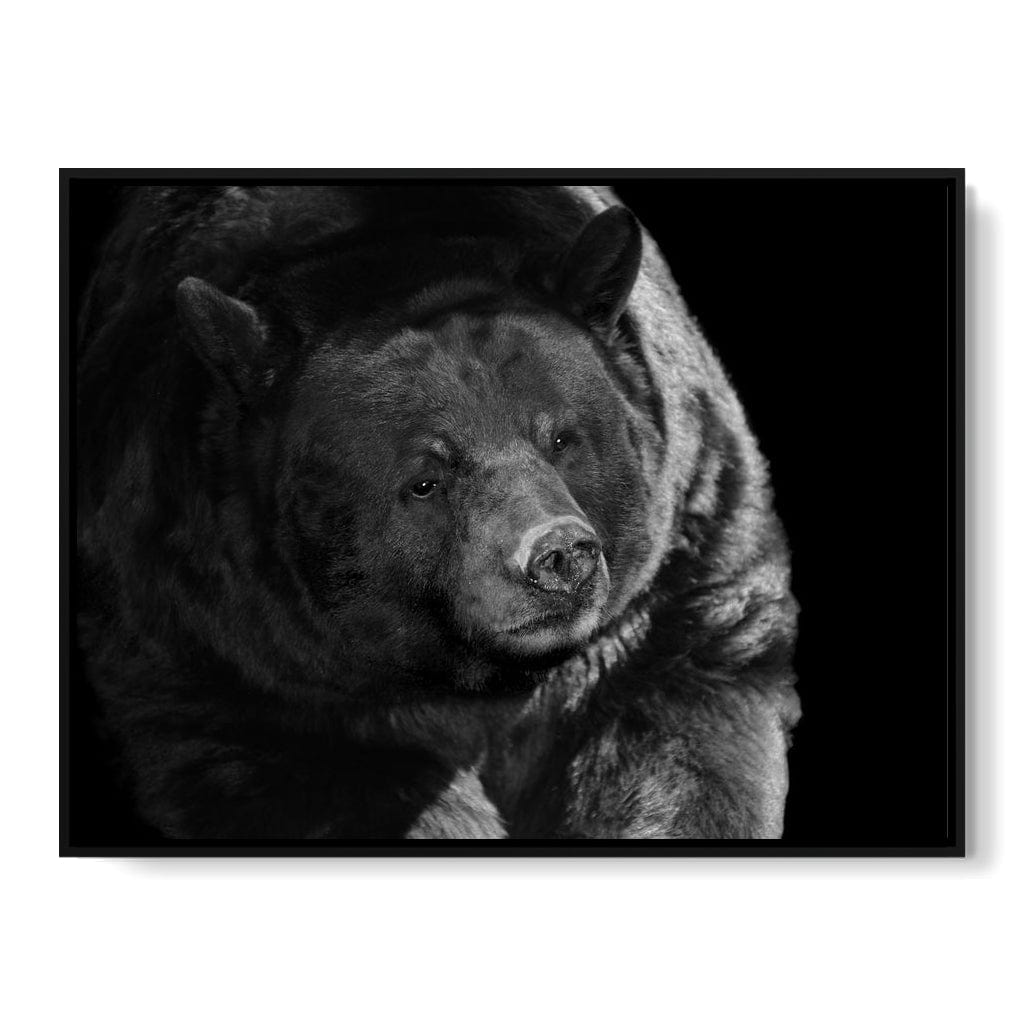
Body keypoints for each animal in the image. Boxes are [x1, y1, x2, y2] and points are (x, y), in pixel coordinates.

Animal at [75, 184, 800, 841]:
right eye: (426, 481)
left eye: (561, 438)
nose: (558, 555)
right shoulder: (214, 647)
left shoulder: (679, 572)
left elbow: (677, 748)